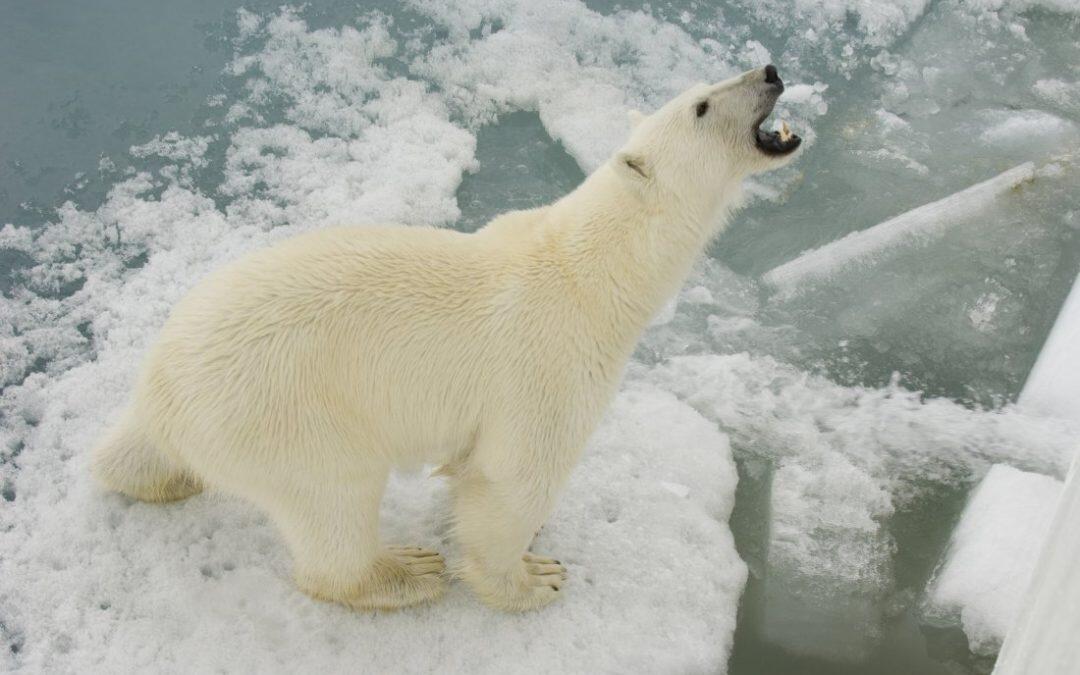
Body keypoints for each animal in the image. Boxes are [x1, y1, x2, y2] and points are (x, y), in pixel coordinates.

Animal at [90, 67, 803, 609]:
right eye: (702, 104)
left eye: (706, 85)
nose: (769, 71)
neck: (595, 275)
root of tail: (161, 384)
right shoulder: (548, 364)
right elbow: (512, 477)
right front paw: (531, 579)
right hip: (285, 413)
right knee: (333, 503)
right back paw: (404, 572)